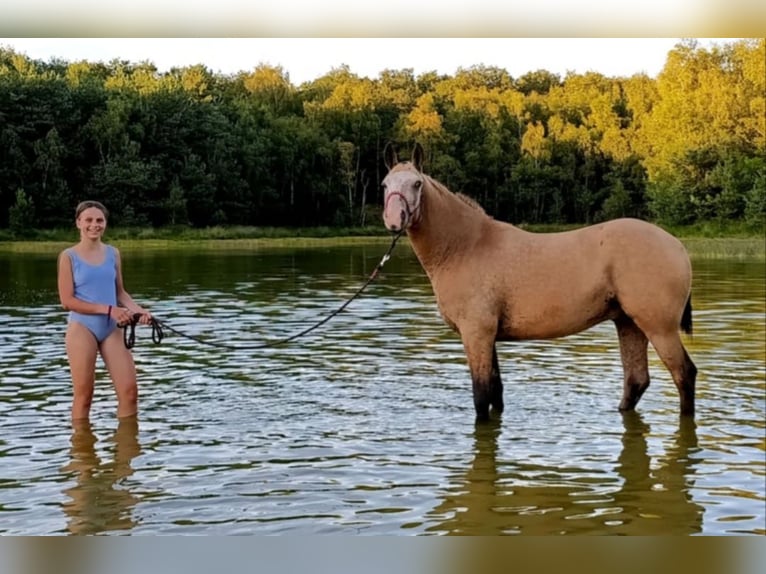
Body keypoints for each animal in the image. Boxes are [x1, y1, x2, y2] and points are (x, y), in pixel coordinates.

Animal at [381, 143, 697, 421]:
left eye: (417, 184)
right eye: (385, 185)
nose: (394, 220)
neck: (465, 247)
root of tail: (678, 246)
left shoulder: (476, 333)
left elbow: (481, 396)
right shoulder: (488, 336)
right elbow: (496, 392)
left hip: (659, 328)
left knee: (684, 374)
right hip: (629, 323)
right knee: (636, 381)